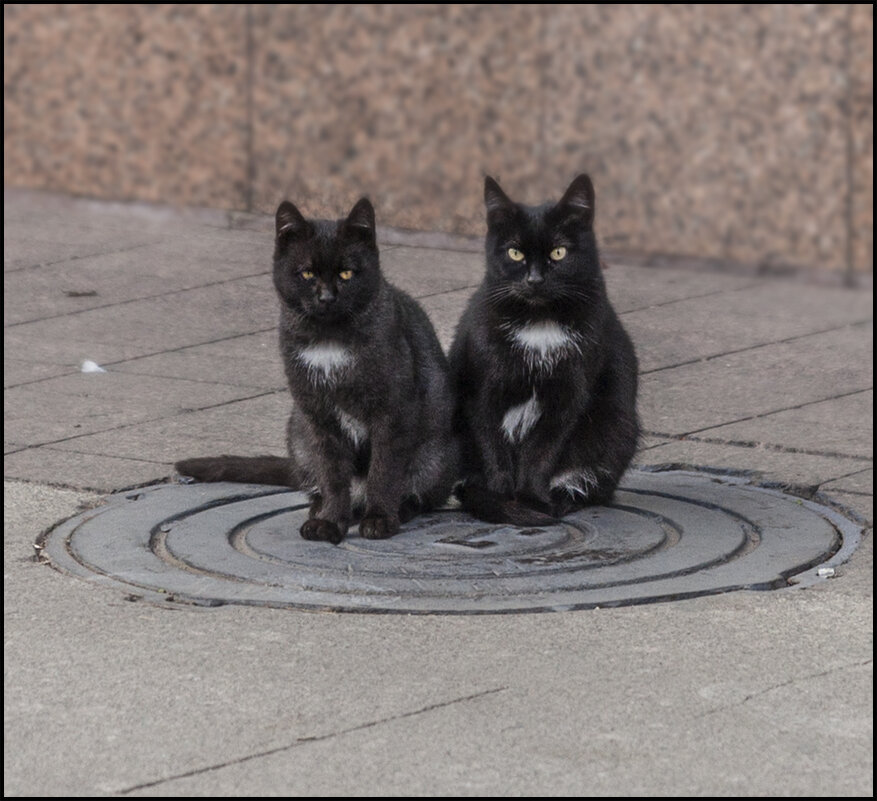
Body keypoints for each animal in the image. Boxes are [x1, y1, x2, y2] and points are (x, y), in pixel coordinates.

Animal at [173, 197, 458, 544]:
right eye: (307, 273)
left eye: (347, 273)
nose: (326, 297)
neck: (328, 343)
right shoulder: (318, 416)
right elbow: (333, 475)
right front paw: (330, 522)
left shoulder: (392, 411)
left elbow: (384, 470)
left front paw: (379, 519)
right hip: (299, 432)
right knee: (321, 485)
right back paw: (322, 510)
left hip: (434, 455)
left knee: (422, 493)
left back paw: (396, 509)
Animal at [448, 175, 640, 524]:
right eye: (514, 253)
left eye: (559, 252)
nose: (535, 280)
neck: (539, 324)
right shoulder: (482, 388)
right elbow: (491, 443)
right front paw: (501, 498)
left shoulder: (568, 393)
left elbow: (543, 449)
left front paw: (531, 500)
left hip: (617, 427)